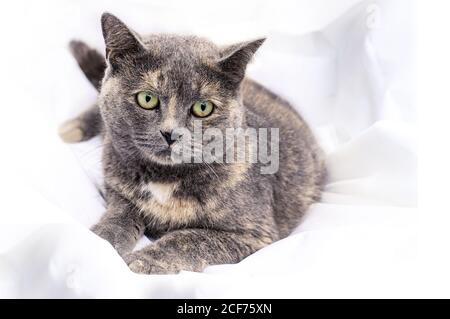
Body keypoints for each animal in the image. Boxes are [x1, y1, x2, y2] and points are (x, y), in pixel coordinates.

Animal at [60, 13, 326, 276]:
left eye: (203, 107)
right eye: (147, 99)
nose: (170, 133)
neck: (165, 178)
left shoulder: (255, 234)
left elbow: (190, 238)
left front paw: (145, 261)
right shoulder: (116, 188)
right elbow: (119, 214)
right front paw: (100, 240)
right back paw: (69, 130)